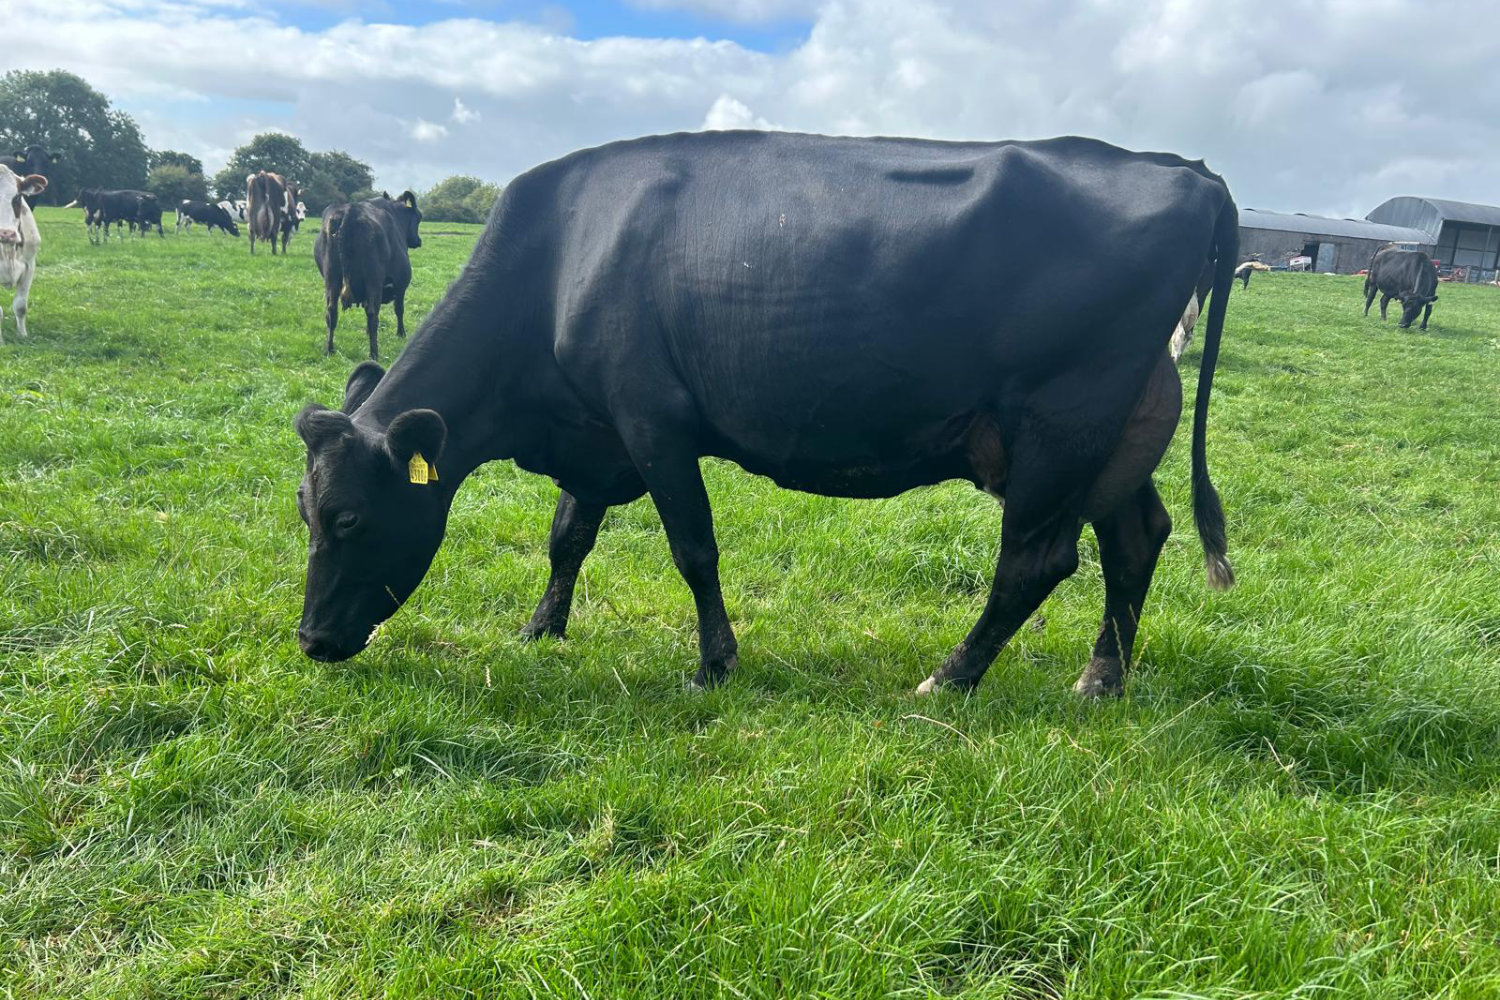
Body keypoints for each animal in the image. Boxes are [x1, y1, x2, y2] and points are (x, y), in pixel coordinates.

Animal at [313, 191, 422, 358]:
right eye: (419, 218)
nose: (418, 241)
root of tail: (349, 210)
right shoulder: (400, 284)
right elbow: (399, 309)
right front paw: (401, 333)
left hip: (332, 278)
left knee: (331, 312)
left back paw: (329, 349)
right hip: (374, 280)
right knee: (372, 314)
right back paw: (374, 353)